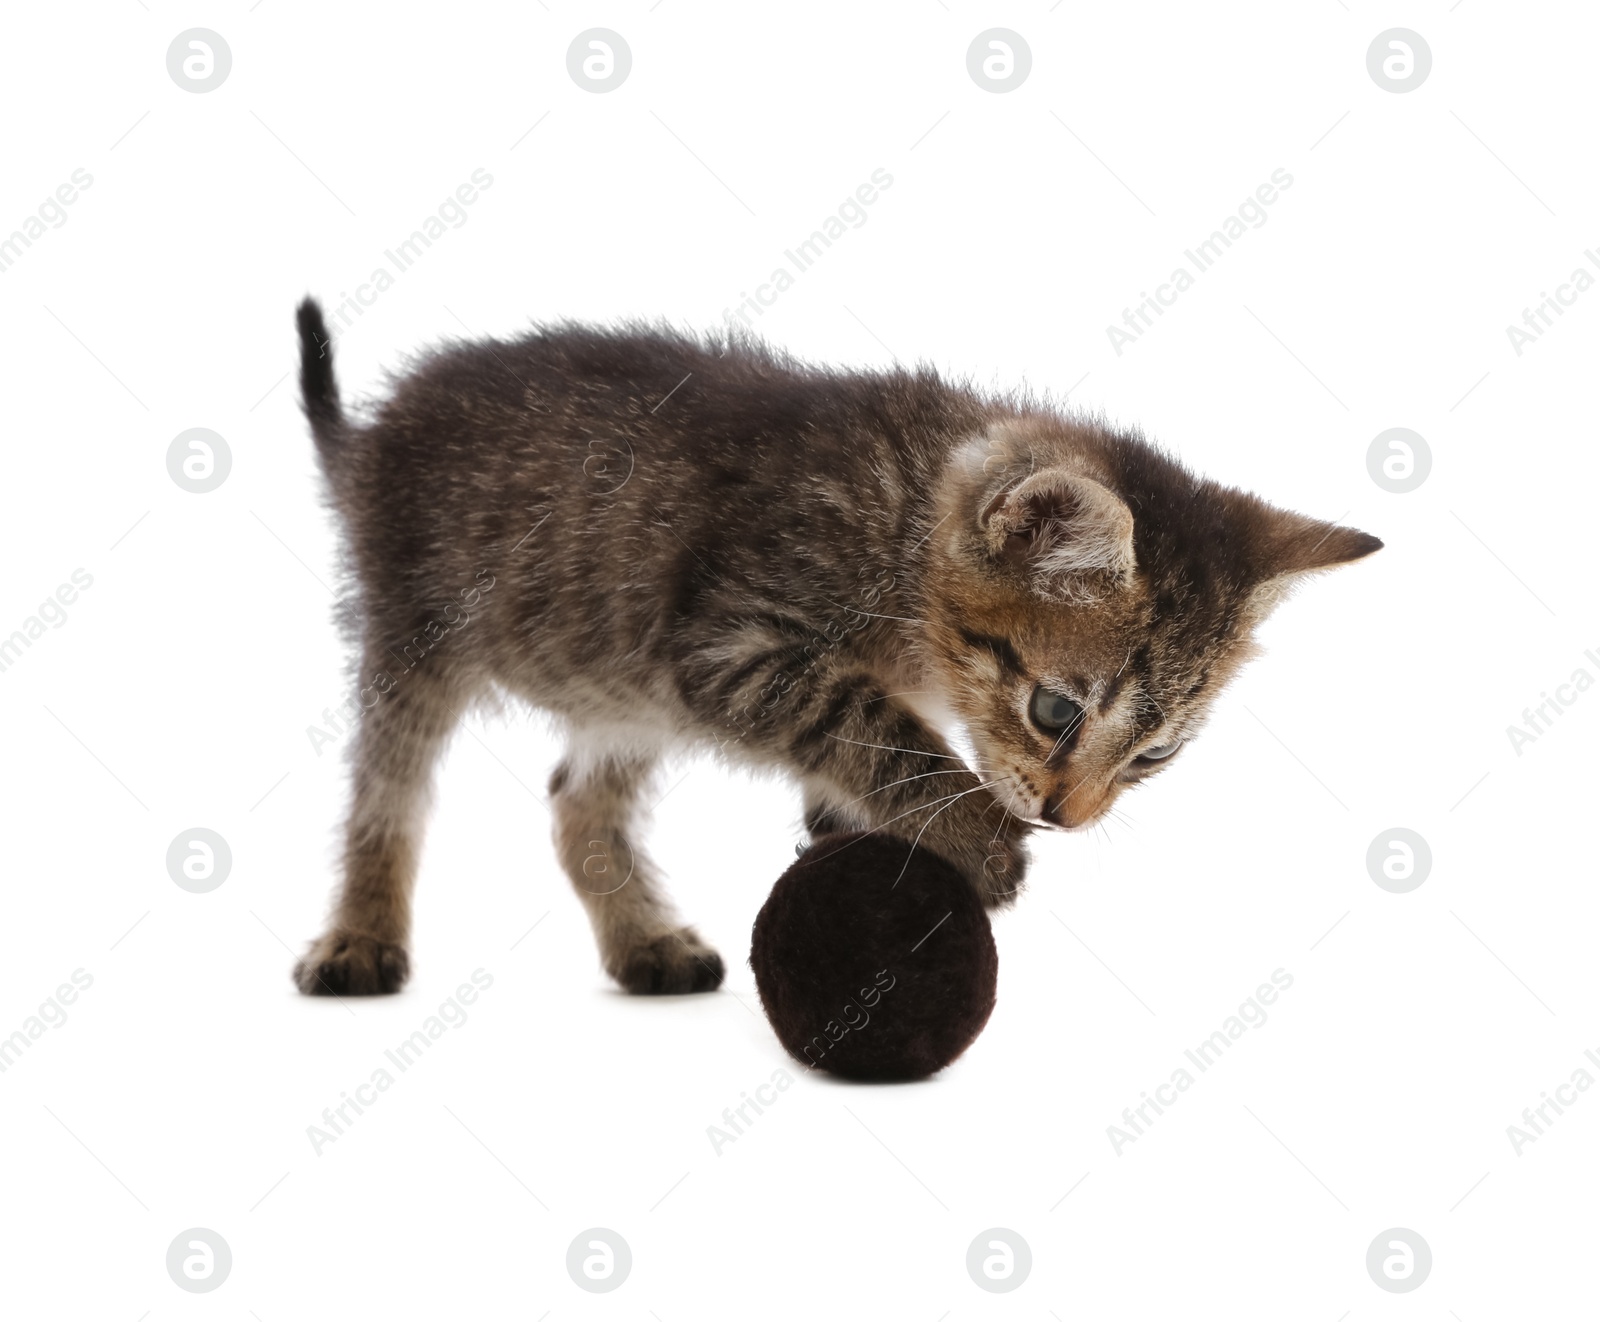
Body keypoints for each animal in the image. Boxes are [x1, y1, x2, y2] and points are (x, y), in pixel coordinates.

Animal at [294, 299, 1382, 992]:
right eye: (1055, 710)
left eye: (1154, 756)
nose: (1068, 817)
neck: (903, 528)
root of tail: (371, 434)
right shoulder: (726, 646)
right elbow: (874, 726)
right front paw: (975, 835)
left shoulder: (705, 674)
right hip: (416, 638)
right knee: (385, 797)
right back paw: (358, 939)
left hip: (623, 684)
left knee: (574, 803)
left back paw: (645, 943)